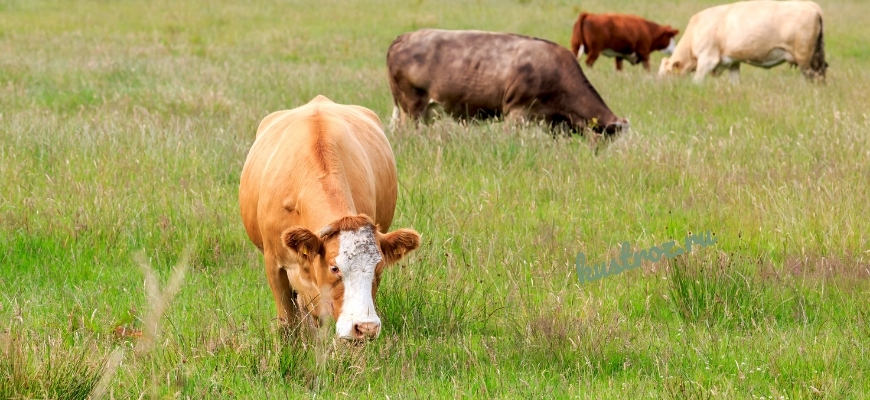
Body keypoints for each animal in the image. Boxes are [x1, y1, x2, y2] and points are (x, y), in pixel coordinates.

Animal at [660, 0, 832, 83]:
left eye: (666, 75)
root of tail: (811, 5)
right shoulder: (732, 62)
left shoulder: (707, 59)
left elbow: (697, 81)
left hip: (805, 58)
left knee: (812, 78)